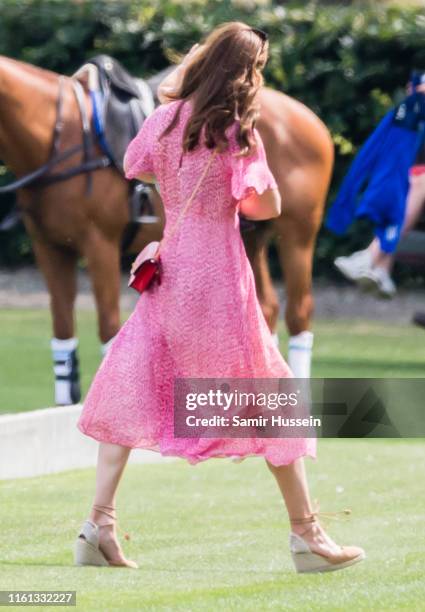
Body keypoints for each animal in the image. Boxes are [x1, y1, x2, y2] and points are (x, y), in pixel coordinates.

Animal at [0, 55, 332, 404]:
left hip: (298, 234)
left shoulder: (100, 244)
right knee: (265, 308)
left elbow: (108, 326)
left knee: (299, 312)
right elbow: (64, 334)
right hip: (252, 237)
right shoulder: (50, 248)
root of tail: (312, 120)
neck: (61, 137)